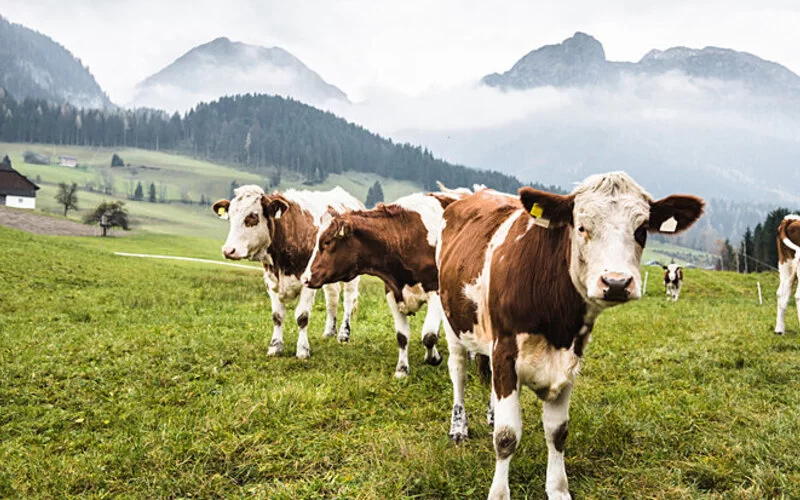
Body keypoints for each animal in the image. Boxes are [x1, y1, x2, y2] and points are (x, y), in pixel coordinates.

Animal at [212, 186, 362, 358]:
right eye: (230, 216)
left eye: (253, 215)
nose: (228, 250)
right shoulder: (270, 281)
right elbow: (277, 316)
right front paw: (275, 347)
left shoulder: (307, 282)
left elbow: (302, 316)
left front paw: (303, 350)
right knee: (332, 297)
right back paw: (329, 332)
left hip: (351, 275)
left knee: (349, 299)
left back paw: (343, 335)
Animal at [300, 192, 462, 378]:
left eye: (326, 242)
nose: (305, 278)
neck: (405, 237)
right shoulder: (391, 292)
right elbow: (402, 336)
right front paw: (402, 370)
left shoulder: (435, 291)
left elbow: (429, 335)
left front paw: (434, 357)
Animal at [434, 173, 704, 500]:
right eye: (581, 227)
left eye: (641, 230)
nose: (616, 283)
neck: (555, 320)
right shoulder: (505, 350)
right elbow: (507, 436)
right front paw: (499, 493)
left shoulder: (569, 356)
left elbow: (557, 431)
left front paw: (558, 488)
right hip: (453, 322)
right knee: (458, 371)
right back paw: (458, 427)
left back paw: (491, 413)